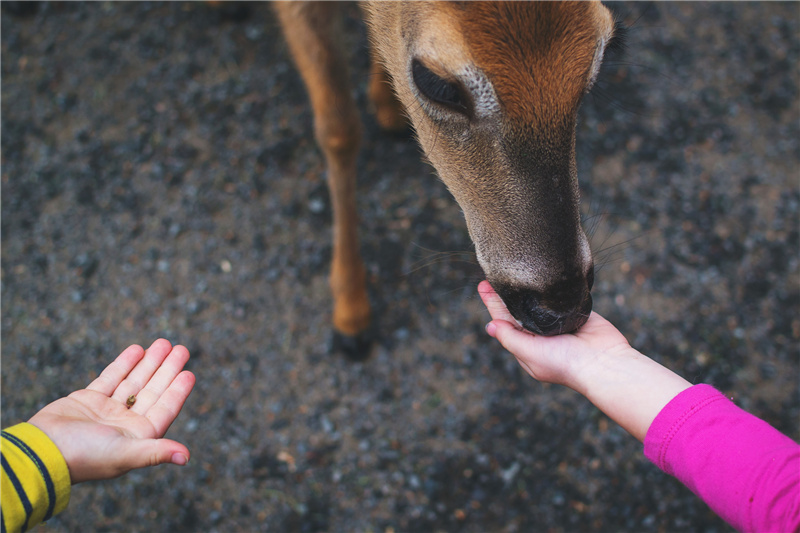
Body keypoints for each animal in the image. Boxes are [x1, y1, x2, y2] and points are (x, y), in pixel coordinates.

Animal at [274, 2, 624, 360]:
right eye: (435, 83)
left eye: (608, 47)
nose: (563, 310)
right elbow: (339, 131)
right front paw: (350, 314)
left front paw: (387, 105)